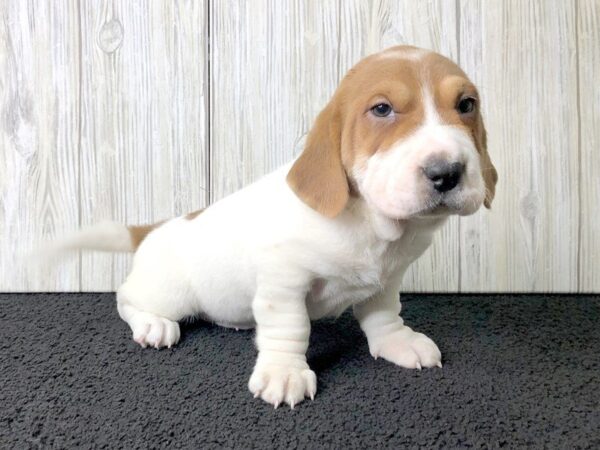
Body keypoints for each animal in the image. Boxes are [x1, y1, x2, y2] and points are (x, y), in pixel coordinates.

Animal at [56, 45, 496, 408]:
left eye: (466, 104)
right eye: (382, 109)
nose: (447, 172)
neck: (371, 223)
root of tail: (158, 227)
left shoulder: (386, 282)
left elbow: (384, 314)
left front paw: (397, 342)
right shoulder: (284, 285)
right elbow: (291, 328)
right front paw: (285, 373)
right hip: (168, 293)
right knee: (127, 298)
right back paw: (153, 325)